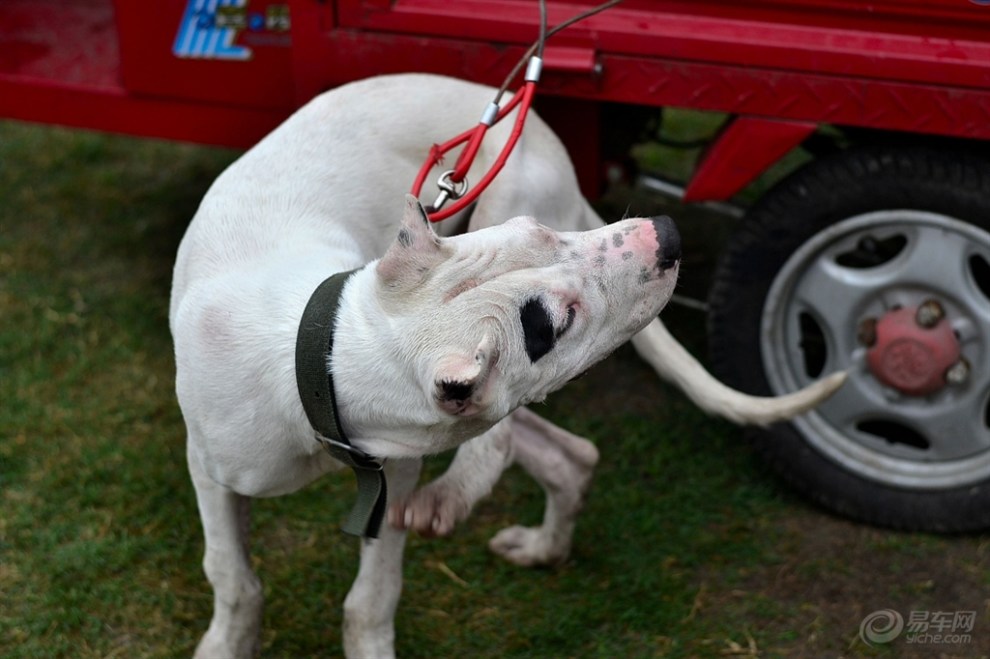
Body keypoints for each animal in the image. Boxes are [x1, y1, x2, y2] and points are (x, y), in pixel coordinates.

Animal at [170, 73, 844, 659]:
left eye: (540, 233)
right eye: (558, 321)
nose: (667, 234)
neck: (320, 355)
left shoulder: (402, 464)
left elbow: (372, 596)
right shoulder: (210, 464)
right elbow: (230, 574)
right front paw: (226, 645)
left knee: (510, 442)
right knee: (564, 452)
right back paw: (542, 540)